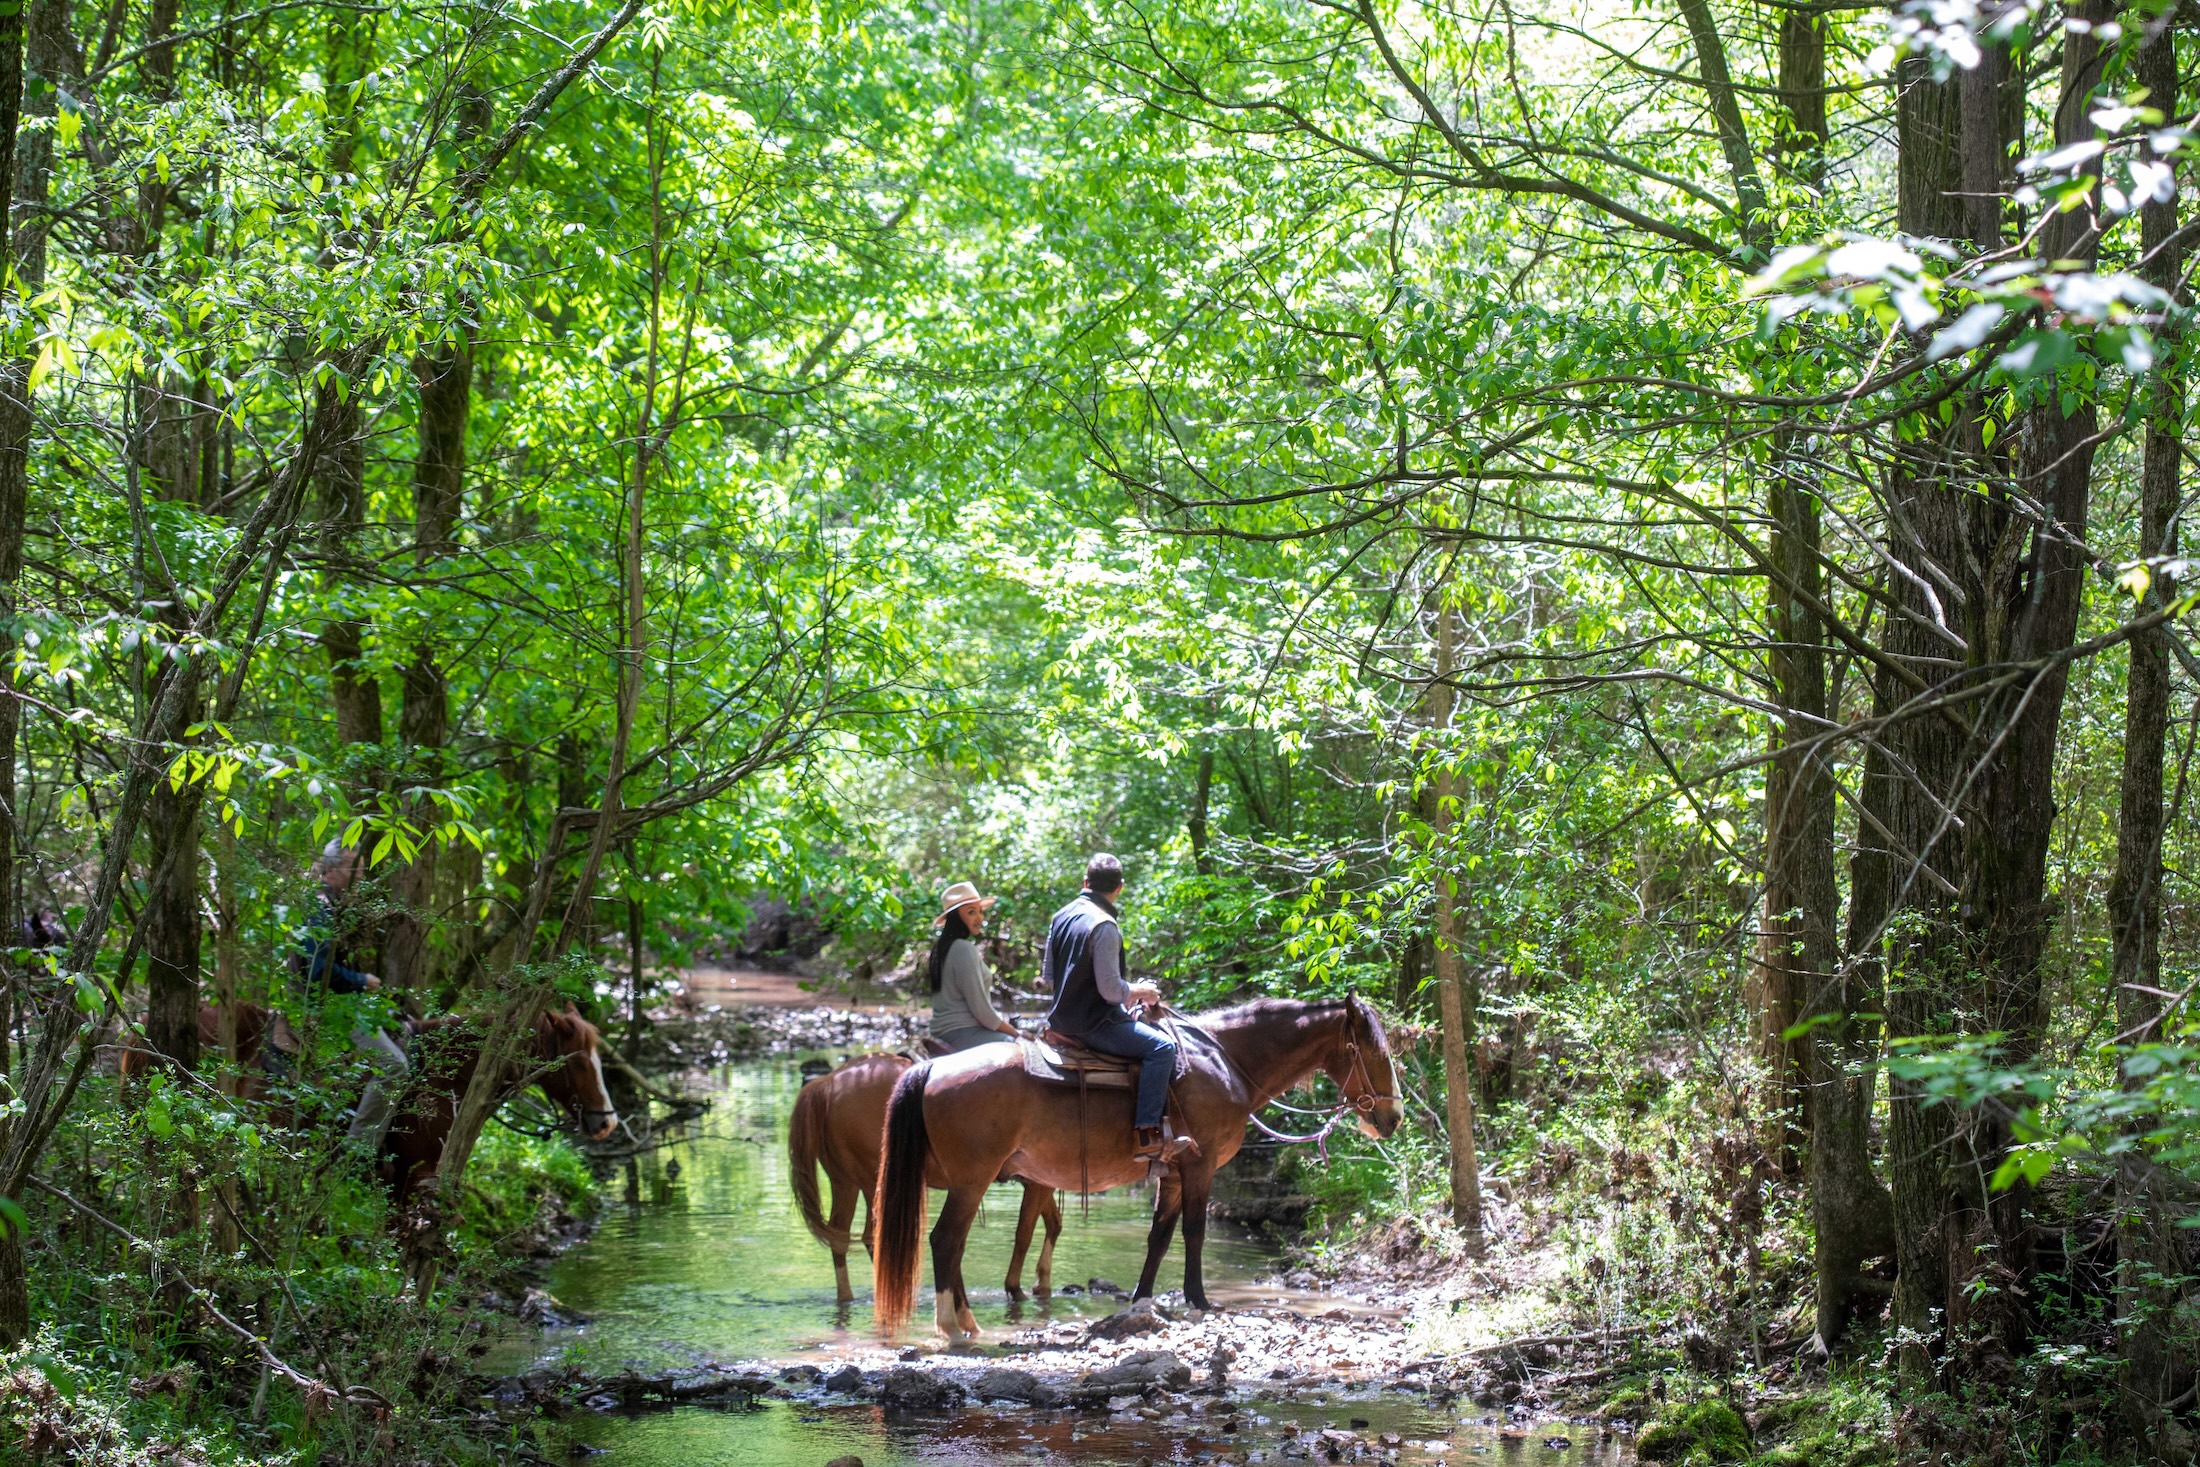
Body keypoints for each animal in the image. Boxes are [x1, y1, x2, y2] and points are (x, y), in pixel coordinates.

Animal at [792, 1055, 1064, 1310]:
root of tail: (827, 1083)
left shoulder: (1039, 1185)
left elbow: (1053, 1224)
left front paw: (1042, 1283)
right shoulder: (1038, 1185)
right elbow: (1025, 1233)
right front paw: (1018, 1288)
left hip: (845, 1182)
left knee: (840, 1235)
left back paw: (849, 1297)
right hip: (872, 1183)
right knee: (873, 1237)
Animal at [871, 998, 1399, 1346]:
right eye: (1374, 1052)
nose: (1392, 1118)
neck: (1224, 1062)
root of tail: (933, 1068)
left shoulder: (1173, 1172)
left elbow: (1159, 1237)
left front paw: (1142, 1301)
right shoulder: (1200, 1165)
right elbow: (1193, 1232)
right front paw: (1199, 1300)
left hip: (965, 1181)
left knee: (953, 1244)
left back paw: (967, 1322)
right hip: (971, 1180)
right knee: (946, 1241)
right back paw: (951, 1327)